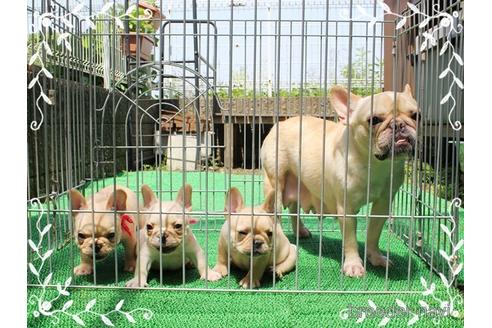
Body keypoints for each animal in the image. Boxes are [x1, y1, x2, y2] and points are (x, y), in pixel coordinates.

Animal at [262, 84, 418, 276]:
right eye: (374, 120)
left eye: (415, 116)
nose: (400, 124)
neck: (374, 164)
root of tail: (280, 123)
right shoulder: (346, 208)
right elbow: (350, 239)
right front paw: (353, 265)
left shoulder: (382, 205)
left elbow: (374, 233)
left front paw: (375, 257)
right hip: (275, 182)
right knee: (276, 212)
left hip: (297, 181)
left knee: (294, 208)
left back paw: (300, 231)